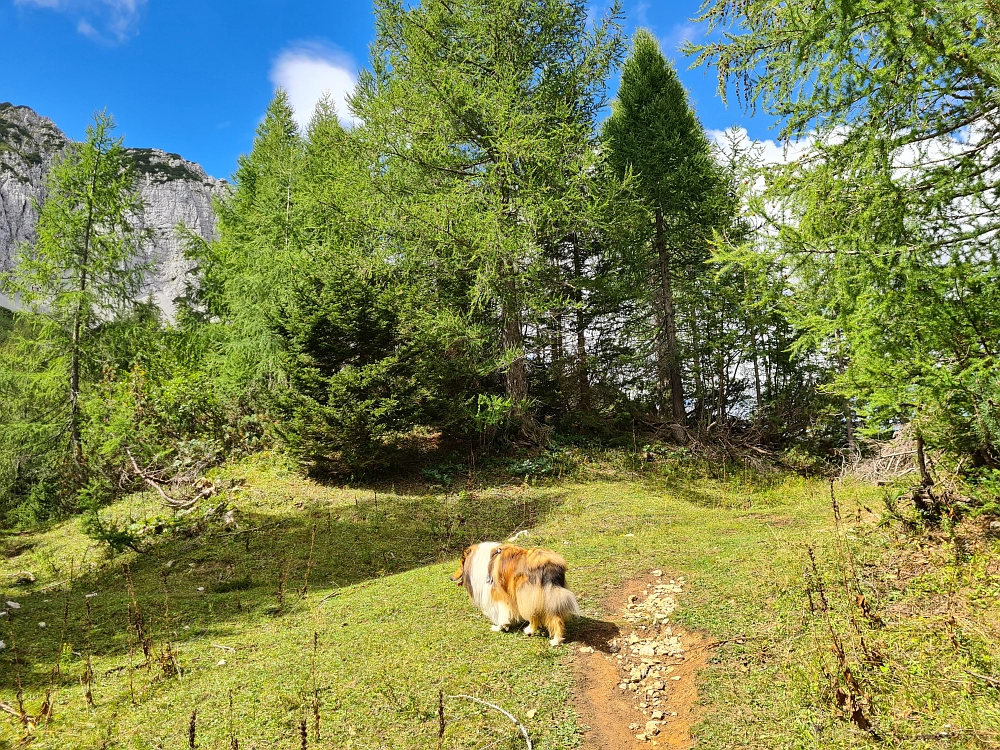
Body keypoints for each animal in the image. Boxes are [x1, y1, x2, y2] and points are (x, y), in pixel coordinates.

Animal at [452, 548, 584, 648]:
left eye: (460, 565)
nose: (450, 578)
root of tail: (549, 565)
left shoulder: (497, 594)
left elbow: (501, 614)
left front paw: (499, 627)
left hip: (529, 593)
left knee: (551, 618)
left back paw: (555, 640)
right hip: (534, 595)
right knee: (539, 614)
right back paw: (532, 631)